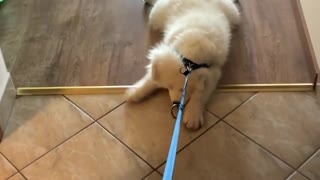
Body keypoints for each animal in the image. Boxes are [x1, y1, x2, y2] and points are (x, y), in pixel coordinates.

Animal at [127, 0, 240, 129]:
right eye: (168, 87)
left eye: (183, 90)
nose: (175, 103)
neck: (191, 55)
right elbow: (151, 78)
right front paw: (136, 91)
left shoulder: (213, 72)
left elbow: (200, 94)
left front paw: (193, 116)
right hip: (156, 14)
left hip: (233, 13)